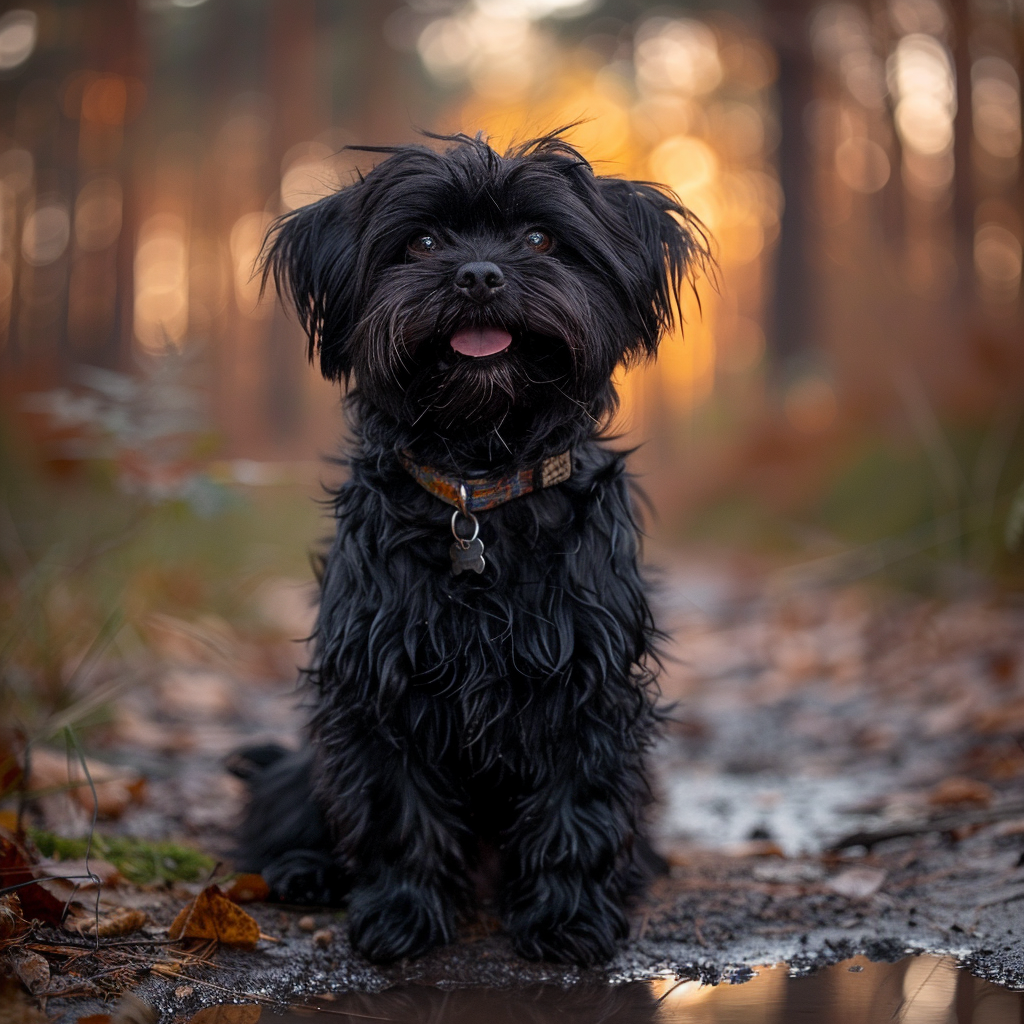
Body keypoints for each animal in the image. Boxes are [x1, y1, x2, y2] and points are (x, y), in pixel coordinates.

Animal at [234, 130, 708, 966]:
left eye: (540, 239)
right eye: (422, 242)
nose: (480, 274)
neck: (477, 487)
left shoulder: (587, 684)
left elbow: (577, 805)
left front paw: (568, 919)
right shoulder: (379, 683)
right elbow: (395, 808)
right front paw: (401, 916)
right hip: (300, 766)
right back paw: (302, 870)